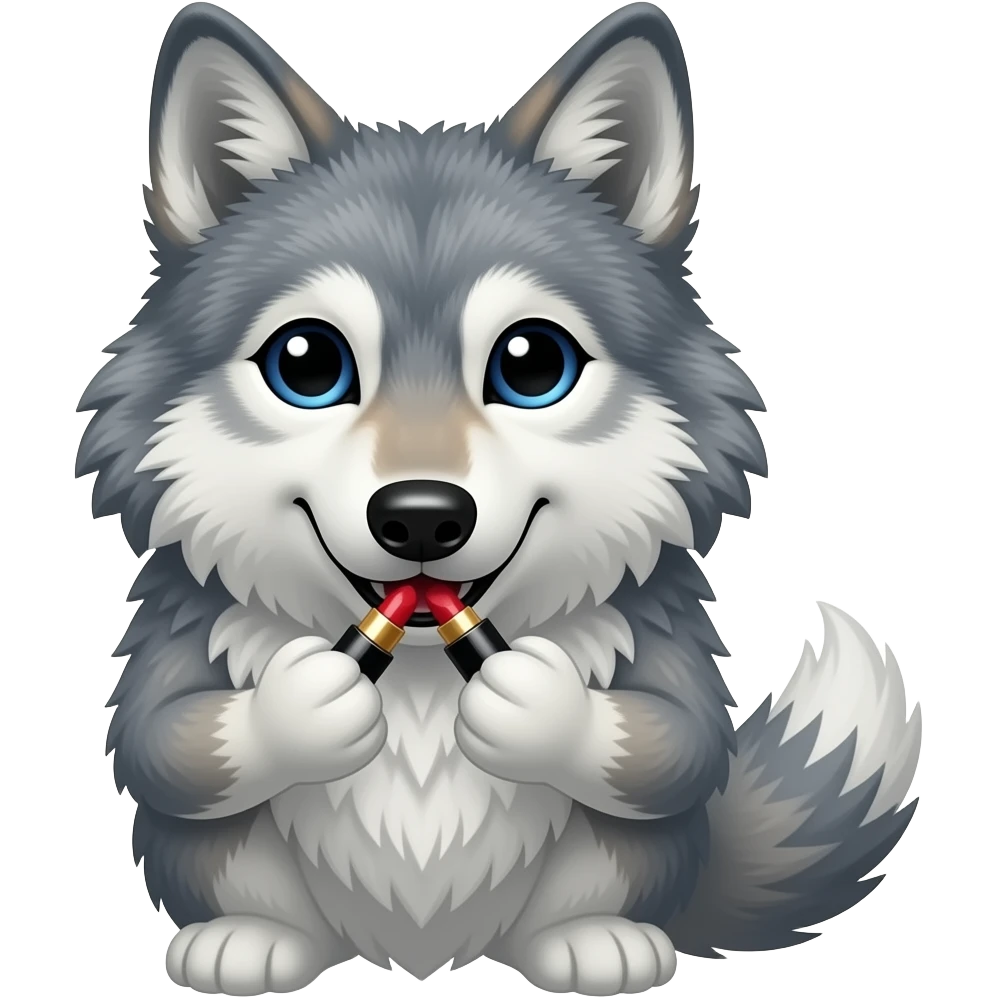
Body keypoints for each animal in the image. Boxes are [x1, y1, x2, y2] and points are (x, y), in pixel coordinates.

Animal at [76, 2, 923, 995]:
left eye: (533, 364)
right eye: (307, 363)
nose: (420, 518)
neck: (421, 681)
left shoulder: (663, 658)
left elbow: (672, 747)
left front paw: (540, 705)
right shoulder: (176, 658)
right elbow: (166, 744)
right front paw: (302, 704)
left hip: (624, 863)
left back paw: (595, 941)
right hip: (218, 862)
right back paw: (249, 939)